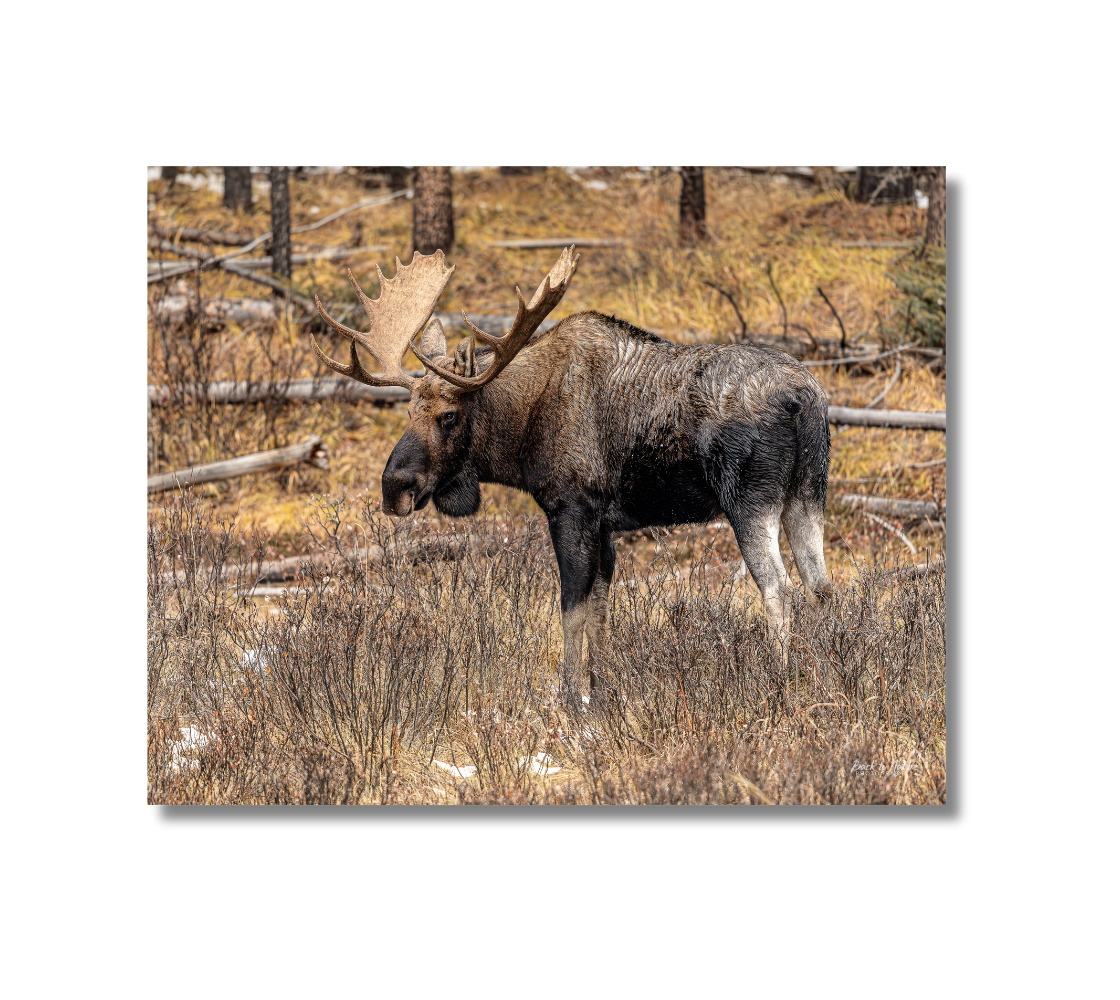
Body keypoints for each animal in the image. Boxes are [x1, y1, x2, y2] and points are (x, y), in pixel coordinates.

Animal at [311, 248, 833, 709]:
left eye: (449, 416)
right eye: (407, 411)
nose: (393, 488)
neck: (520, 434)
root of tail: (803, 399)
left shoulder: (571, 508)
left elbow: (570, 608)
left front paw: (568, 700)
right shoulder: (604, 524)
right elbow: (600, 607)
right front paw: (601, 694)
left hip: (750, 500)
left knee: (778, 586)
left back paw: (778, 682)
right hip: (807, 493)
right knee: (821, 584)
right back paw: (832, 666)